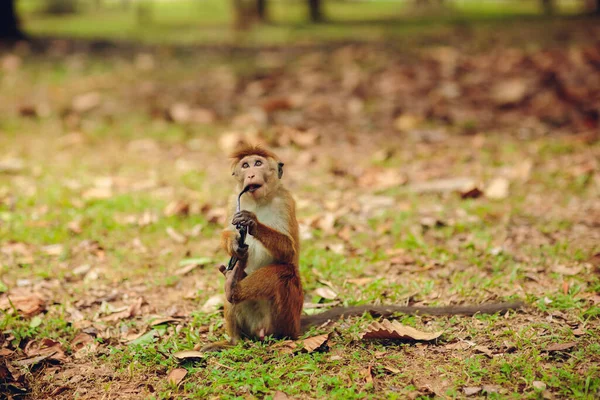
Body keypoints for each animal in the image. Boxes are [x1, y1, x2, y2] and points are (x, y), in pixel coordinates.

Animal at [200, 145, 520, 352]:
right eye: (245, 166)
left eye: (258, 164)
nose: (251, 174)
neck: (260, 199)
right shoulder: (233, 200)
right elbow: (230, 235)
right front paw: (235, 243)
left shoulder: (285, 201)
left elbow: (289, 254)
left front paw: (252, 223)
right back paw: (233, 331)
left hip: (286, 317)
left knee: (284, 274)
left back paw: (239, 291)